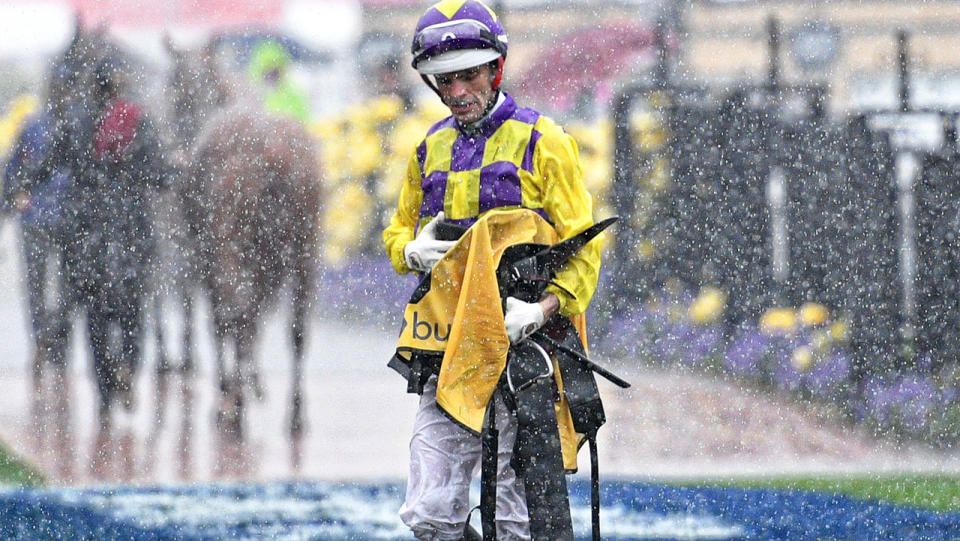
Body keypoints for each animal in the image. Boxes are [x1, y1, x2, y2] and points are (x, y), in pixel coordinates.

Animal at [166, 40, 322, 440]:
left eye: (176, 92)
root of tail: (272, 155)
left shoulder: (203, 251)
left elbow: (222, 316)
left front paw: (232, 390)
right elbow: (254, 319)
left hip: (231, 242)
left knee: (234, 308)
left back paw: (233, 405)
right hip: (303, 250)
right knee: (296, 327)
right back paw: (294, 413)